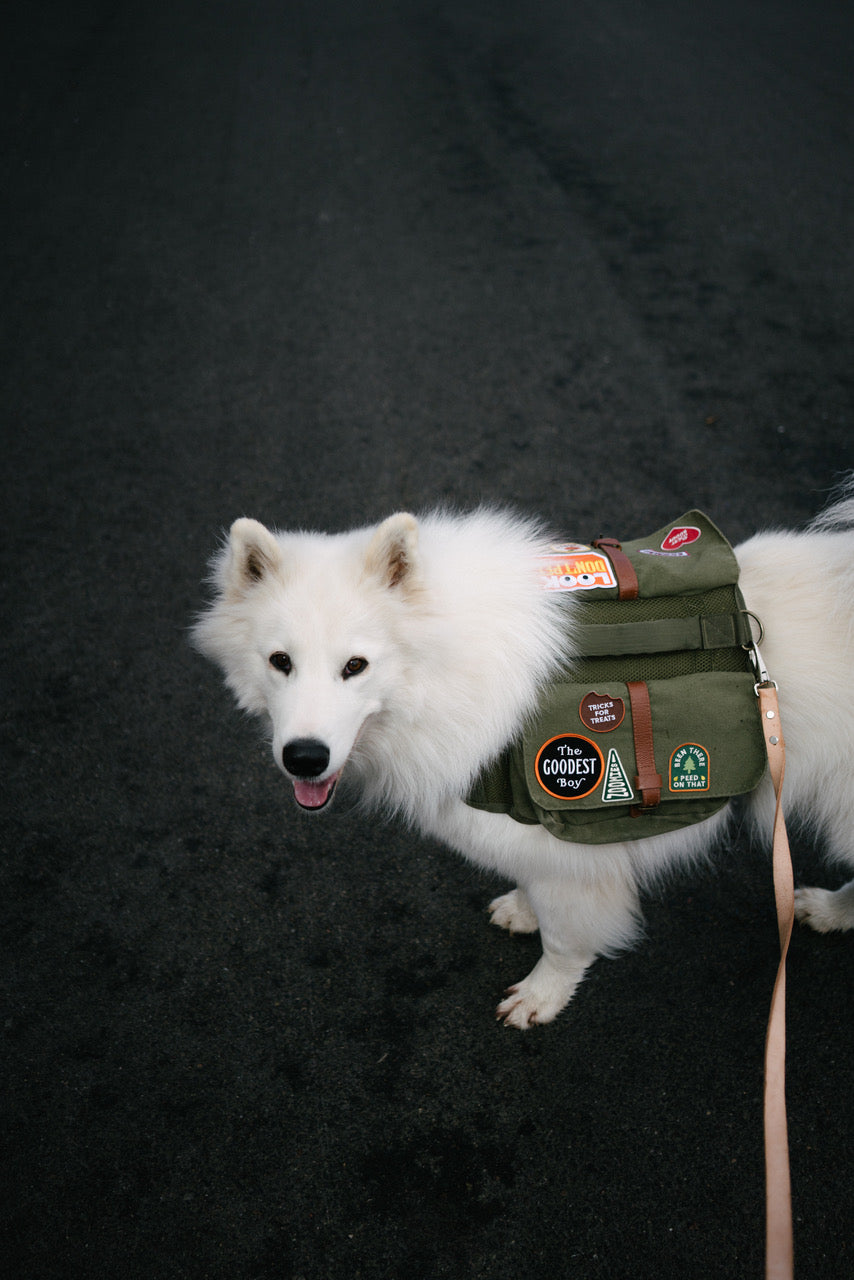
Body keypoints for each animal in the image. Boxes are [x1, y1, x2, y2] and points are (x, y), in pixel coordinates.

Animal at [193, 483, 854, 1024]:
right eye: (280, 662)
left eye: (355, 666)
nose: (304, 757)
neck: (445, 667)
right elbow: (540, 898)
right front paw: (524, 910)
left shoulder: (571, 851)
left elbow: (565, 942)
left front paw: (542, 996)